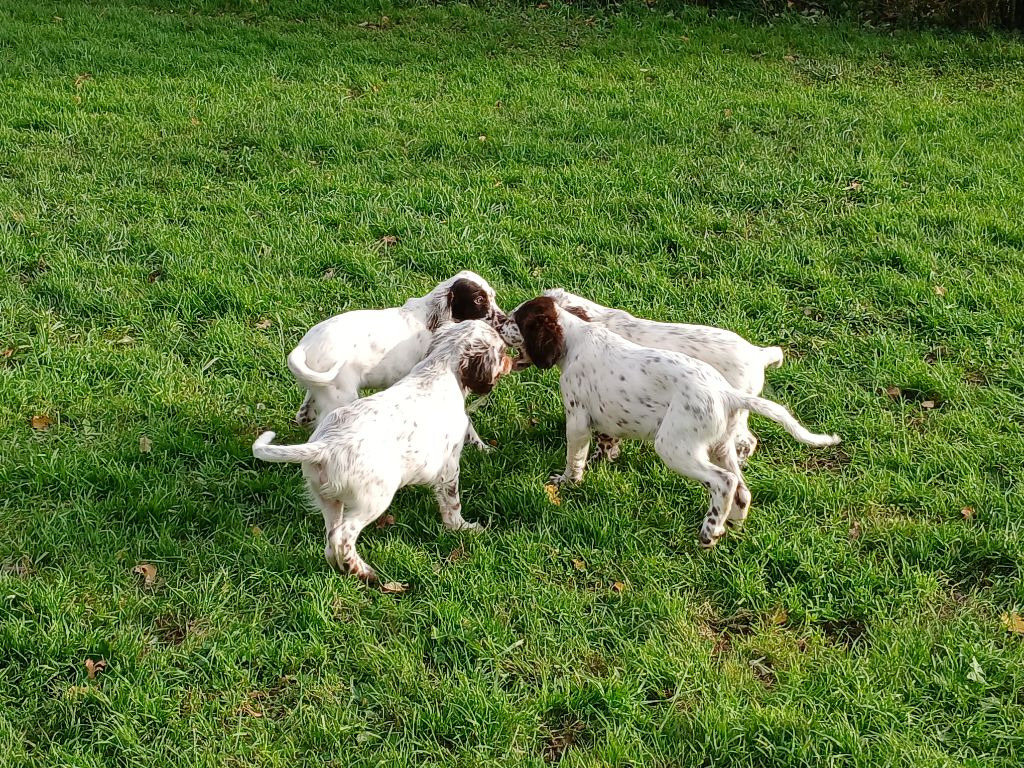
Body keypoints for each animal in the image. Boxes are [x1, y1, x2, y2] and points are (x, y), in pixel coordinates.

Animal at [252, 319, 516, 581]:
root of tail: (325, 446)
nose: (511, 361)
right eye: (501, 351)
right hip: (374, 498)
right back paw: (364, 571)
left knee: (330, 539)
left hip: (327, 497)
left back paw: (345, 569)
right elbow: (452, 503)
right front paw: (464, 528)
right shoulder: (449, 466)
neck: (440, 367)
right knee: (343, 536)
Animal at [286, 272, 505, 448]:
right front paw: (482, 447)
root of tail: (304, 346)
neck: (430, 317)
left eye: (492, 297)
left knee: (303, 415)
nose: (503, 320)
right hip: (340, 396)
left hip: (319, 389)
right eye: (478, 299)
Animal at [497, 296, 839, 548]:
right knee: (741, 488)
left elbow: (575, 458)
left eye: (516, 320)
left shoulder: (578, 418)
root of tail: (728, 394)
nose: (498, 323)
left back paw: (710, 531)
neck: (575, 336)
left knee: (723, 482)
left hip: (674, 446)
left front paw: (566, 482)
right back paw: (732, 526)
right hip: (720, 446)